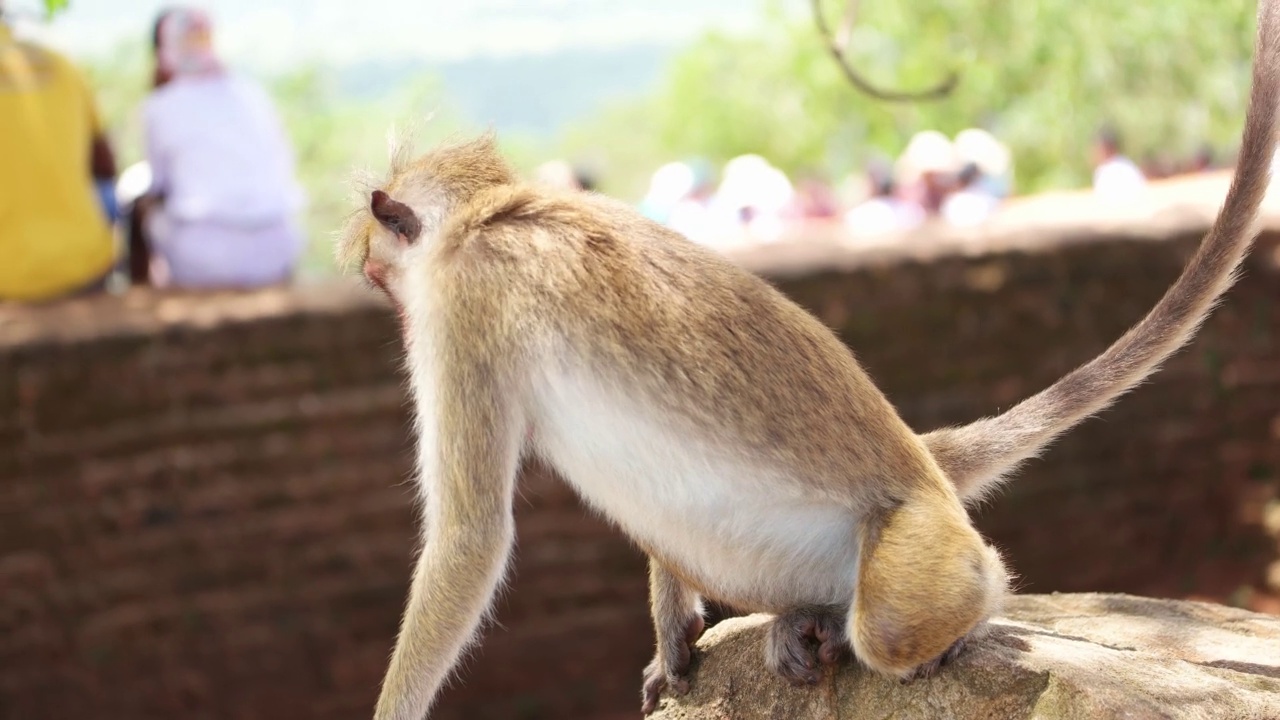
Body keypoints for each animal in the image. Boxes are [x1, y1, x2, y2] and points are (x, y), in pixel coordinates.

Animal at [332, 2, 1280, 712]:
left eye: (383, 281)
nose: (391, 309)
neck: (486, 217)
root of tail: (923, 458)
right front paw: (670, 631)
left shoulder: (463, 308)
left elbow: (469, 537)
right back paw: (806, 620)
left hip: (921, 536)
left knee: (904, 619)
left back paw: (966, 611)